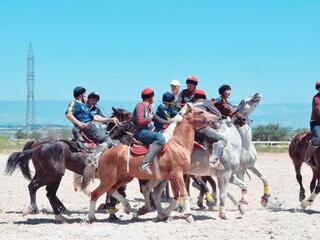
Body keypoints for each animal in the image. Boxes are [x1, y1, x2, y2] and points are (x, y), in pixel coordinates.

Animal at [85, 104, 220, 222]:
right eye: (201, 112)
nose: (218, 118)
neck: (177, 144)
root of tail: (105, 151)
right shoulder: (177, 175)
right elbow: (183, 194)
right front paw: (188, 216)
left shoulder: (172, 177)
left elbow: (175, 197)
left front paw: (163, 215)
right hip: (108, 179)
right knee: (95, 194)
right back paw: (92, 217)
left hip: (124, 178)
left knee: (112, 191)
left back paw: (128, 207)